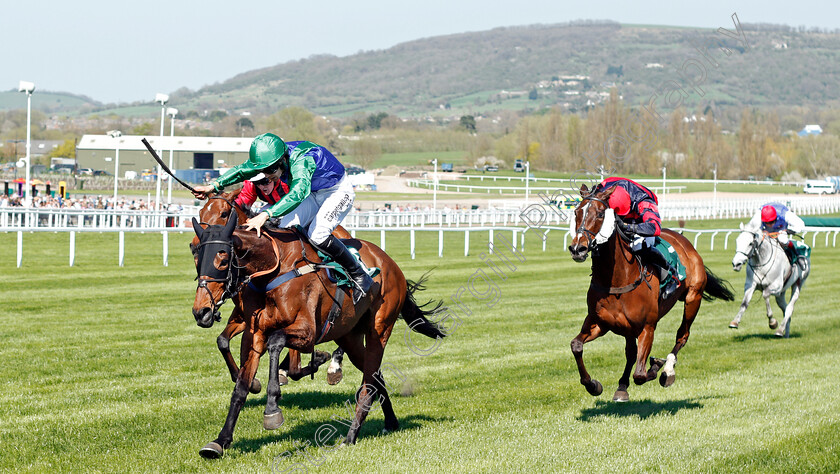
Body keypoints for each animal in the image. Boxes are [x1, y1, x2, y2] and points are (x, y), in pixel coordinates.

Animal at [191, 213, 446, 458]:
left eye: (223, 259)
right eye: (196, 258)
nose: (200, 311)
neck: (274, 268)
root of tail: (391, 263)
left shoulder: (308, 333)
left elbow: (276, 342)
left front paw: (272, 407)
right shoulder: (254, 335)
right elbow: (240, 388)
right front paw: (220, 441)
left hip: (380, 329)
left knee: (368, 384)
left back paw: (350, 437)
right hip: (349, 336)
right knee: (375, 376)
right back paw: (390, 421)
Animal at [196, 189, 352, 388]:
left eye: (223, 213)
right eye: (201, 213)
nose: (195, 244)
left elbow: (294, 364)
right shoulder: (245, 316)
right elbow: (223, 341)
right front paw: (248, 379)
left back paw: (334, 366)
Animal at [568, 184, 732, 400]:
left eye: (601, 213)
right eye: (577, 212)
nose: (577, 248)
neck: (617, 279)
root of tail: (686, 243)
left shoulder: (647, 327)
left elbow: (640, 374)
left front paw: (657, 365)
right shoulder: (599, 322)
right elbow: (576, 346)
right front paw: (592, 385)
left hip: (693, 298)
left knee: (682, 335)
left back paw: (668, 370)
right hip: (628, 327)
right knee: (631, 352)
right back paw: (622, 386)